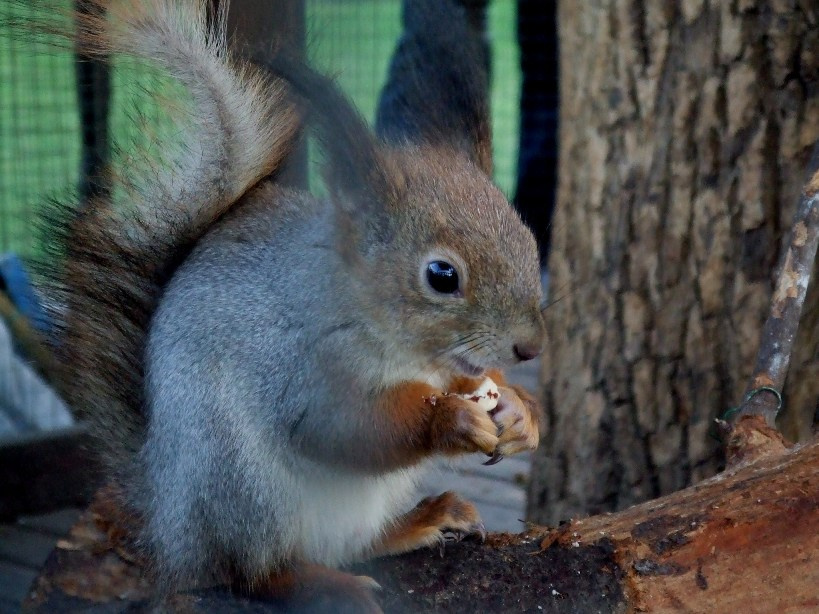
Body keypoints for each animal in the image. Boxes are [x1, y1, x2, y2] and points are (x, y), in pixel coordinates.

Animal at [37, 0, 545, 610]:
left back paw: (420, 522)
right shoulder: (301, 362)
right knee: (252, 572)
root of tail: (171, 522)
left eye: (529, 240)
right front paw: (450, 419)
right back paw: (322, 586)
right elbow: (339, 426)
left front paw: (520, 412)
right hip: (242, 483)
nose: (528, 347)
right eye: (442, 275)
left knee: (351, 544)